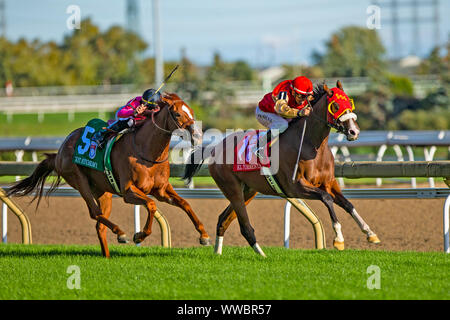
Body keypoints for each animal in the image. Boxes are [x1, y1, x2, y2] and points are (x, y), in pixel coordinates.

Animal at [7, 92, 211, 258]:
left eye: (191, 112)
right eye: (177, 114)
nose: (198, 136)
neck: (147, 152)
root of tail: (59, 152)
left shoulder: (161, 190)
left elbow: (185, 203)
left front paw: (204, 236)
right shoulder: (129, 192)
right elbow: (151, 205)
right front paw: (140, 235)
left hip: (103, 191)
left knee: (99, 224)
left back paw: (107, 254)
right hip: (79, 180)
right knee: (95, 213)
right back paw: (120, 232)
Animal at [183, 81, 380, 256]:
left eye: (350, 102)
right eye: (336, 105)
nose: (354, 132)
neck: (311, 145)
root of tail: (214, 148)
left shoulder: (329, 183)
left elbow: (348, 204)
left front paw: (370, 233)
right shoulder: (295, 187)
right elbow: (327, 199)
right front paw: (338, 239)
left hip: (248, 191)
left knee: (223, 220)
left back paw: (218, 252)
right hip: (232, 189)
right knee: (244, 226)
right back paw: (261, 254)